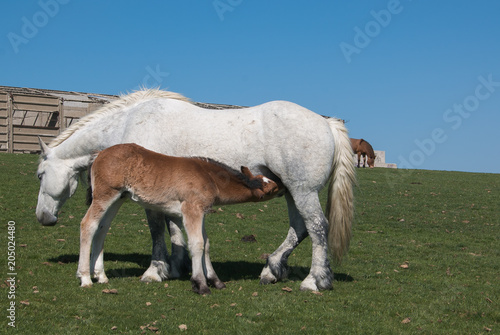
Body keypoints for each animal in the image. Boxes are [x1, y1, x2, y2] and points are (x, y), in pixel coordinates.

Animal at [77, 143, 282, 296]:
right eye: (272, 189)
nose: (282, 187)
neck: (209, 177)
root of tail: (98, 154)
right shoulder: (191, 209)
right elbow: (197, 244)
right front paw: (201, 285)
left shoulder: (201, 211)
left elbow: (206, 243)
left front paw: (216, 281)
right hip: (105, 194)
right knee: (88, 224)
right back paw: (85, 278)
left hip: (118, 197)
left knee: (102, 229)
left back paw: (101, 276)